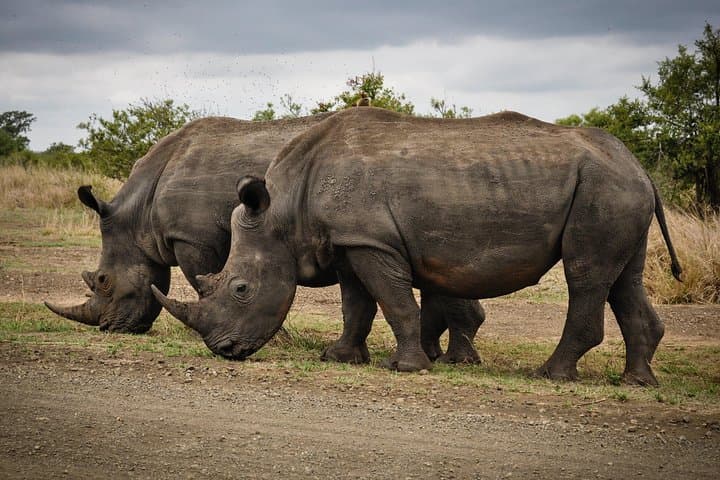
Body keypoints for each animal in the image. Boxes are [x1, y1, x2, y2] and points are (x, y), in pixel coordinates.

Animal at [44, 114, 485, 364]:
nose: (107, 327)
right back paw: (442, 355)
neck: (139, 213)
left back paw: (449, 358)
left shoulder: (193, 238)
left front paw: (278, 340)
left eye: (103, 281)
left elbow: (204, 281)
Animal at [154, 107, 682, 386]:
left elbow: (393, 302)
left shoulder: (372, 242)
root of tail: (639, 166)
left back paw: (550, 375)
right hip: (614, 189)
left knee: (585, 274)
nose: (224, 350)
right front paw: (339, 358)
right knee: (622, 278)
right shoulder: (351, 241)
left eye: (240, 289)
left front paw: (406, 367)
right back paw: (637, 381)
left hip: (603, 190)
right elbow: (357, 305)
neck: (284, 211)